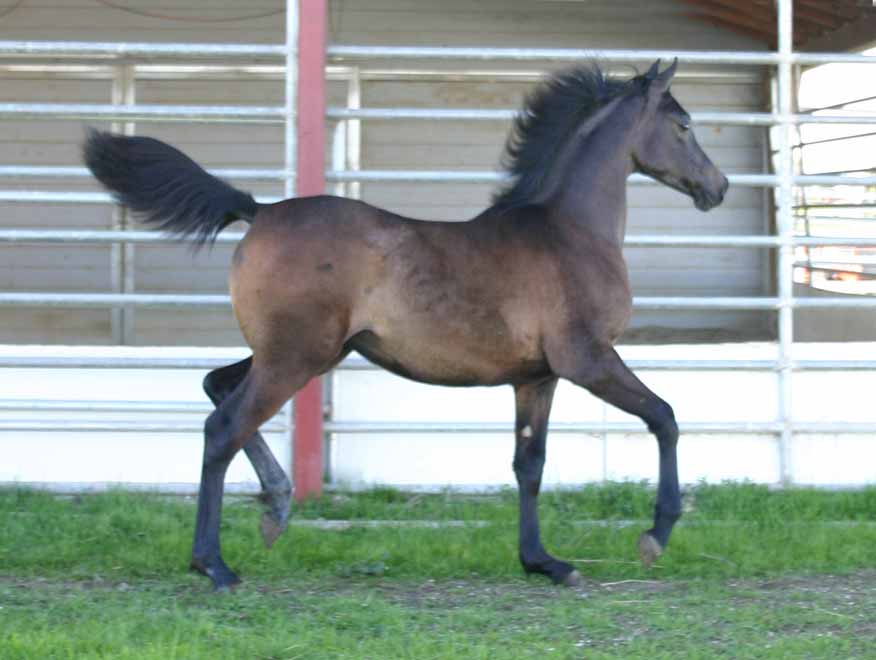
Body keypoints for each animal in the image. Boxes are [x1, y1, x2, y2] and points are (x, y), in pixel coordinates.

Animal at [84, 59, 724, 592]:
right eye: (684, 125)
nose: (717, 188)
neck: (568, 231)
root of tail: (259, 212)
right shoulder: (589, 359)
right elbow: (665, 418)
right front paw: (655, 535)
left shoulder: (536, 377)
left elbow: (530, 465)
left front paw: (543, 562)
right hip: (295, 357)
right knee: (224, 428)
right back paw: (215, 563)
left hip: (305, 351)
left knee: (217, 386)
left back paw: (276, 507)